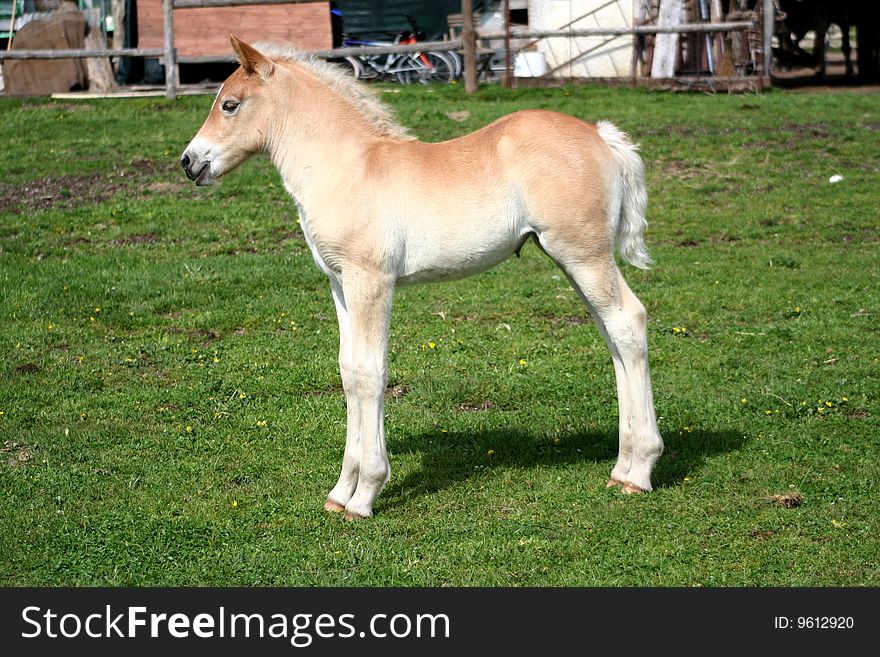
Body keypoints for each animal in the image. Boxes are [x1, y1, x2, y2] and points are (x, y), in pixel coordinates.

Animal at [179, 36, 660, 520]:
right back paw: (621, 467)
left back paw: (639, 472)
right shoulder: (340, 284)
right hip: (574, 260)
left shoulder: (371, 281)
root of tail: (601, 136)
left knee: (628, 321)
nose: (189, 162)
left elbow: (371, 372)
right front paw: (340, 492)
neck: (347, 167)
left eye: (230, 105)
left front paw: (365, 494)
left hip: (583, 255)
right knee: (612, 335)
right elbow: (348, 370)